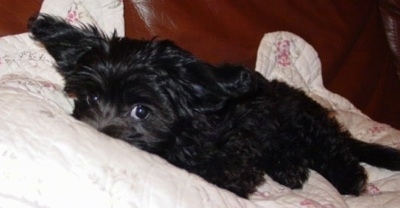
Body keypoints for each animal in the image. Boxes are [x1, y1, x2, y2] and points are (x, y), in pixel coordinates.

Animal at [29, 13, 400, 197]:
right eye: (92, 98)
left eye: (141, 111)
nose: (98, 134)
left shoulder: (233, 159)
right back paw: (289, 170)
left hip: (305, 126)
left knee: (333, 149)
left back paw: (348, 179)